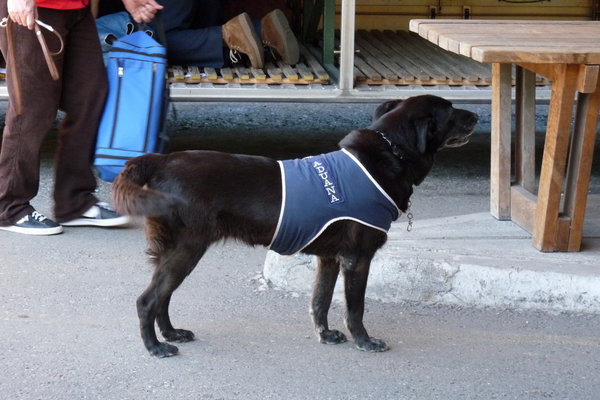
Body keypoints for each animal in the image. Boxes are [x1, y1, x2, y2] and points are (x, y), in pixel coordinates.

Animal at [112, 95, 478, 358]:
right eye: (450, 110)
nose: (475, 114)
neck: (390, 152)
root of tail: (160, 160)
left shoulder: (330, 259)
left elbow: (320, 300)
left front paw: (325, 334)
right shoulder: (357, 258)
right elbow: (355, 308)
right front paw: (365, 341)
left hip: (178, 250)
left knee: (162, 296)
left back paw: (171, 334)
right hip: (187, 248)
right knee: (147, 300)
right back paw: (155, 347)